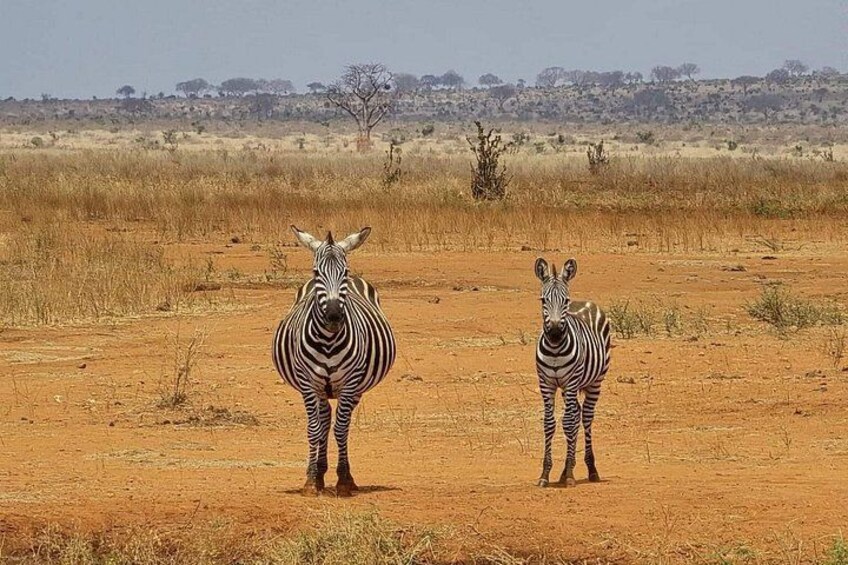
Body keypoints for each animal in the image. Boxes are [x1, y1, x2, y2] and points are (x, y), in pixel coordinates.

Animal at [272, 226, 396, 496]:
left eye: (344, 272)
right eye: (316, 272)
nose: (333, 316)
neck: (328, 339)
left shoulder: (350, 383)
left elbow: (340, 429)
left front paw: (344, 480)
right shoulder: (308, 383)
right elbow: (314, 428)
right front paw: (311, 480)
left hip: (356, 387)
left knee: (341, 423)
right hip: (320, 388)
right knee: (324, 418)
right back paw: (319, 473)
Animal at [533, 257, 611, 488]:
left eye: (565, 300)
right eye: (543, 300)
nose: (555, 332)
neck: (555, 348)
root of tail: (587, 302)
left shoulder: (571, 380)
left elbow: (567, 422)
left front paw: (569, 475)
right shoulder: (546, 383)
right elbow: (549, 423)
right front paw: (546, 474)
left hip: (594, 381)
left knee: (585, 417)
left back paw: (591, 469)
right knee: (576, 413)